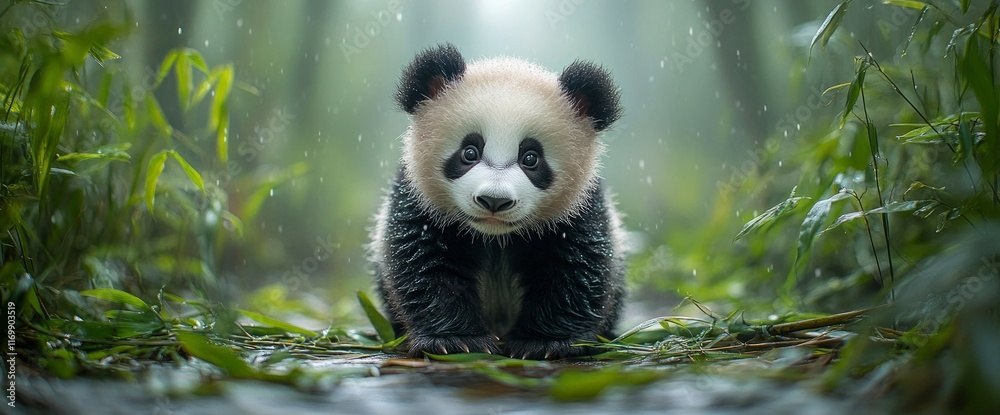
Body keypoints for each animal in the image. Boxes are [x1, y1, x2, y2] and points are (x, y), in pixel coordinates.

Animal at [370, 43, 626, 360]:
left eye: (531, 158)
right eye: (469, 152)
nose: (494, 200)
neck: (495, 236)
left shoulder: (579, 207)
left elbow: (576, 267)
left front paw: (545, 343)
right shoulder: (419, 198)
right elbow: (424, 263)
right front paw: (456, 340)